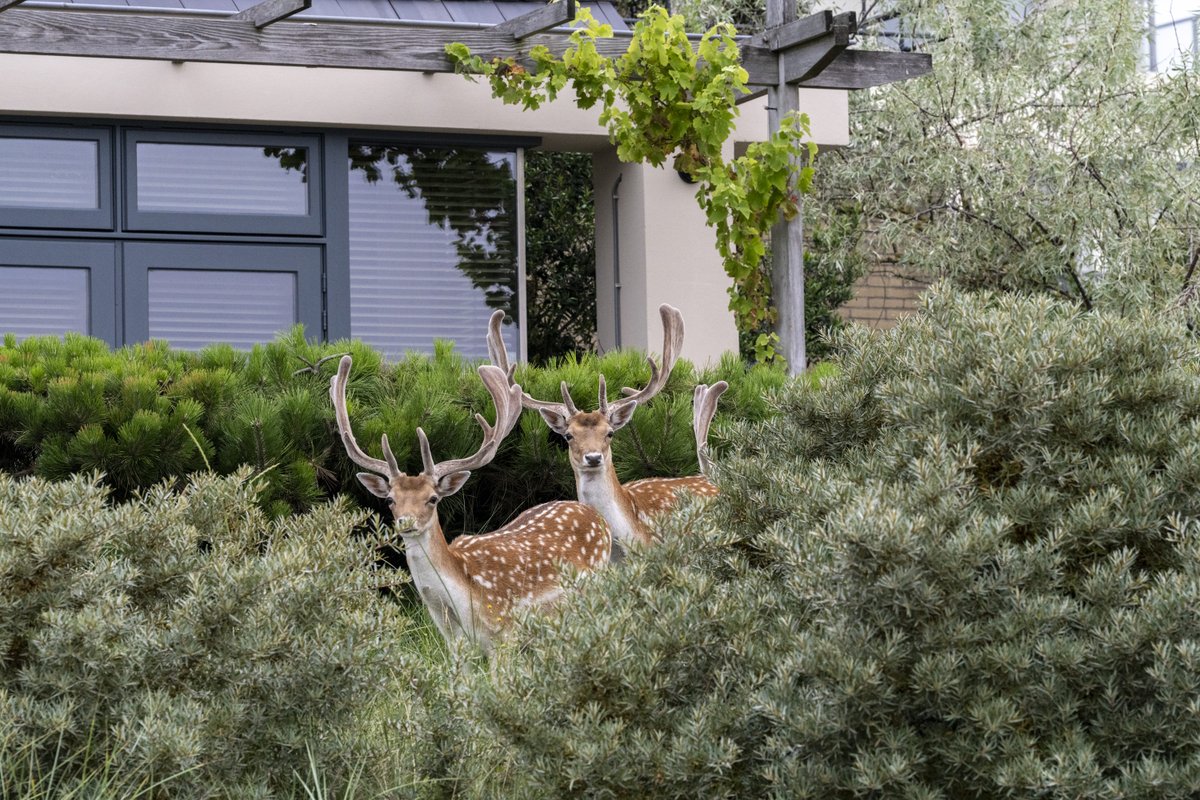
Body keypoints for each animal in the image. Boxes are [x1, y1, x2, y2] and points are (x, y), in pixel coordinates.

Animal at [330, 355, 611, 652]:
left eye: (432, 498)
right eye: (390, 499)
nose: (406, 521)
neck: (461, 606)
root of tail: (595, 515)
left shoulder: (505, 633)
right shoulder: (454, 643)